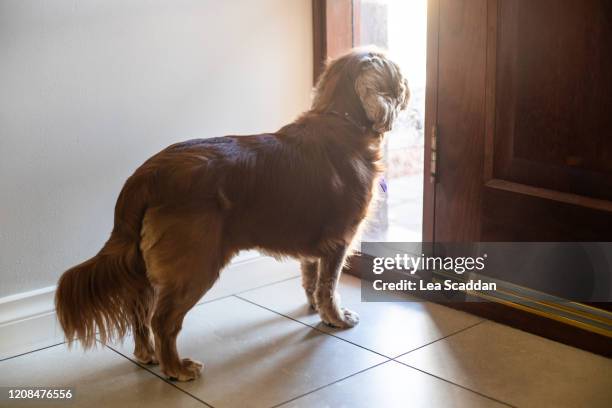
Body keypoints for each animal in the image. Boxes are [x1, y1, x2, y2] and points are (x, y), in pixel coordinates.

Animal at [55, 48, 408, 382]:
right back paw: (177, 368)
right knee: (163, 320)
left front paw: (314, 309)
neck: (342, 119)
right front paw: (336, 317)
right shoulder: (338, 241)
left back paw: (148, 354)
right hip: (195, 265)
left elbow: (311, 278)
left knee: (140, 313)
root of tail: (145, 175)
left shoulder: (313, 242)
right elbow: (329, 286)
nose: (406, 84)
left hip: (147, 269)